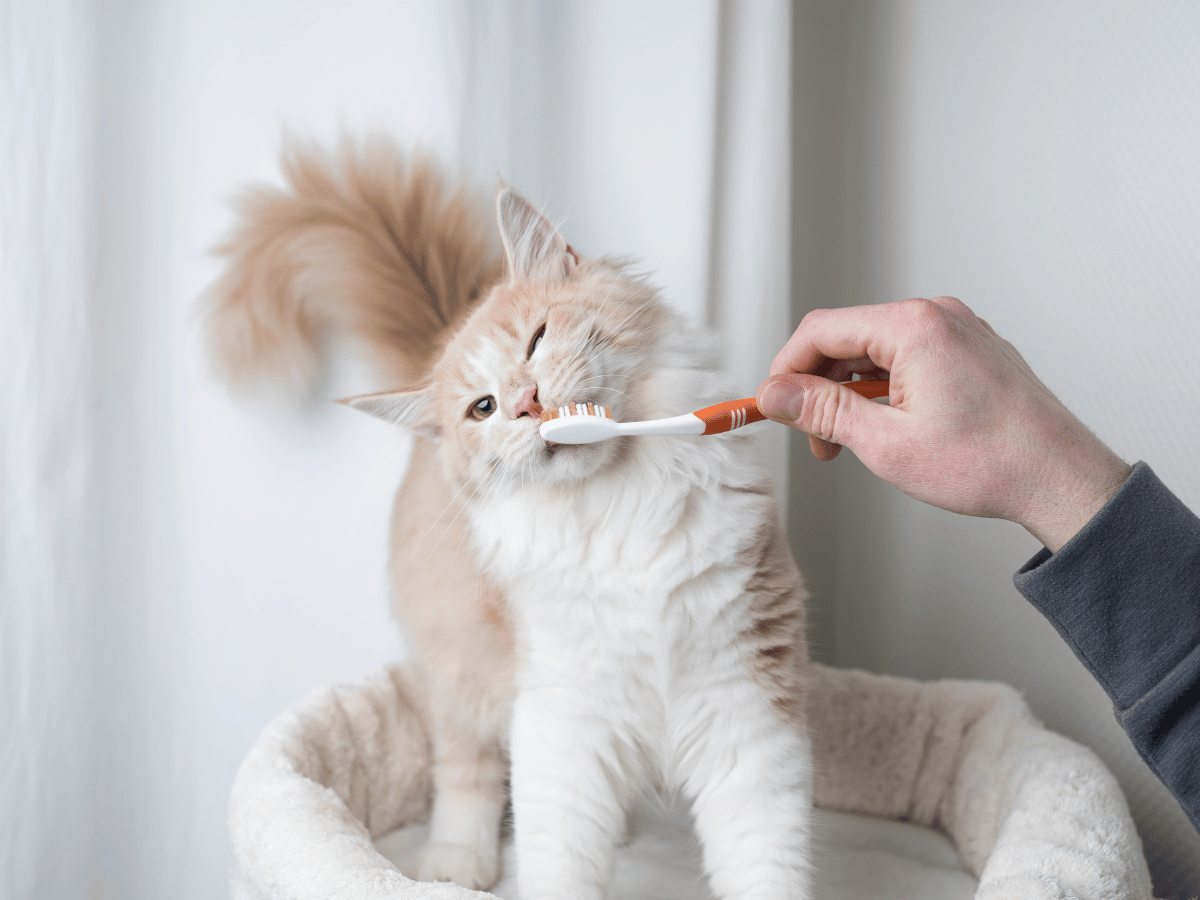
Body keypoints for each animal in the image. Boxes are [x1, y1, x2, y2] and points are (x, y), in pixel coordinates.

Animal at [206, 137, 811, 897]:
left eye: (537, 340)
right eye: (483, 409)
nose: (526, 403)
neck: (619, 504)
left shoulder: (744, 701)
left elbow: (763, 862)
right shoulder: (560, 716)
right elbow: (558, 859)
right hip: (458, 672)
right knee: (467, 774)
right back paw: (457, 864)